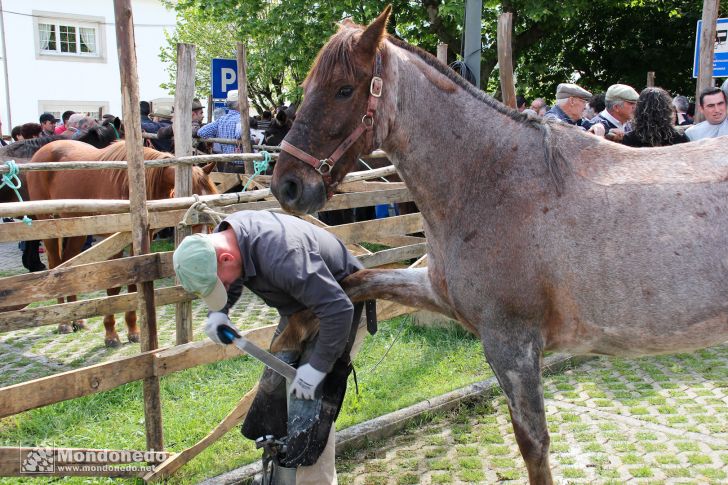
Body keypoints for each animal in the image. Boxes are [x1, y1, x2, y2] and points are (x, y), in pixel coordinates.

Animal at [28, 140, 216, 348]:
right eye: (192, 212)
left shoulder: (140, 240)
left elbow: (134, 285)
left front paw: (134, 331)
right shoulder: (114, 241)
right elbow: (114, 288)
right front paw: (111, 334)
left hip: (77, 228)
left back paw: (78, 320)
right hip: (48, 225)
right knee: (55, 265)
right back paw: (64, 323)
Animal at [270, 8, 728, 484]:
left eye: (344, 89)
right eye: (306, 88)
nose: (287, 185)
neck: (494, 180)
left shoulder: (512, 346)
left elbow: (534, 445)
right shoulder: (439, 292)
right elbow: (360, 280)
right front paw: (294, 332)